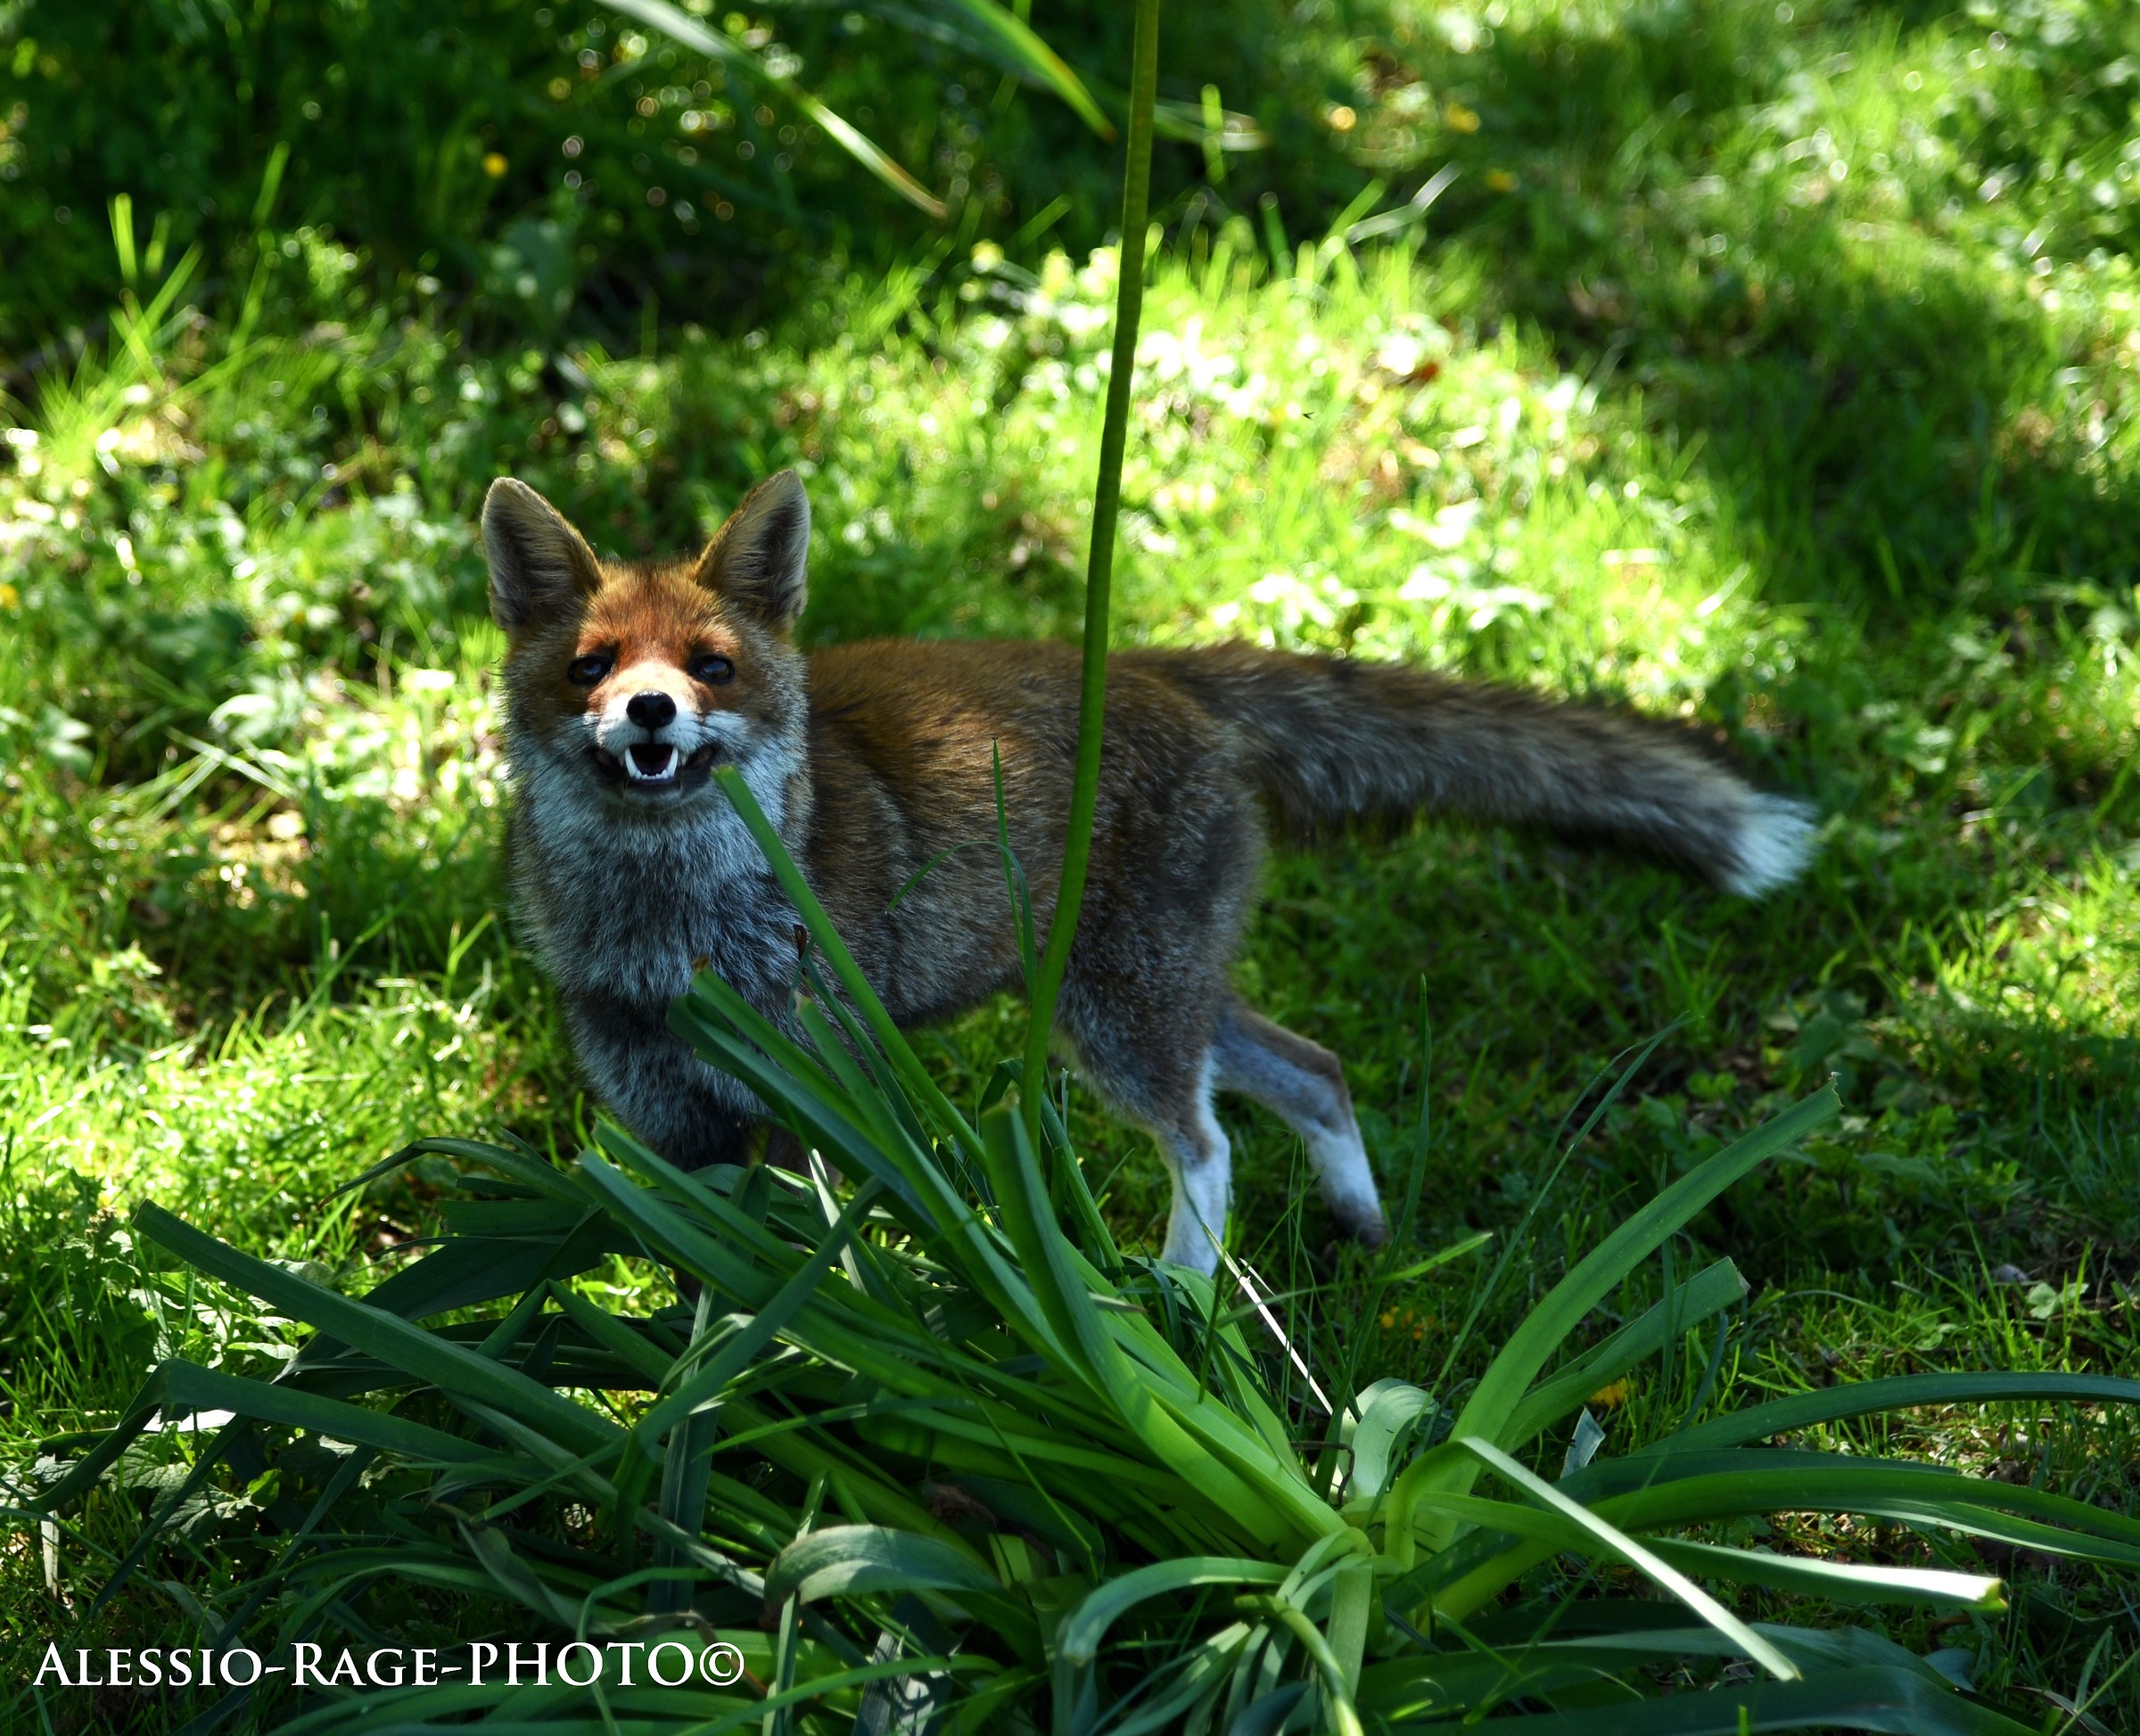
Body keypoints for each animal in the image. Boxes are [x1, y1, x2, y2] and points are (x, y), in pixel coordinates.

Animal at [483, 468, 1815, 1274]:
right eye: (592, 666)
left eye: (710, 666)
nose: (650, 711)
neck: (674, 942)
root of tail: (1160, 668)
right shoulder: (674, 1128)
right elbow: (703, 1289)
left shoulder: (826, 1101)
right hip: (1159, 994)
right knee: (1316, 1071)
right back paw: (1362, 1229)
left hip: (1116, 1014)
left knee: (1208, 1140)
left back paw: (1180, 1302)